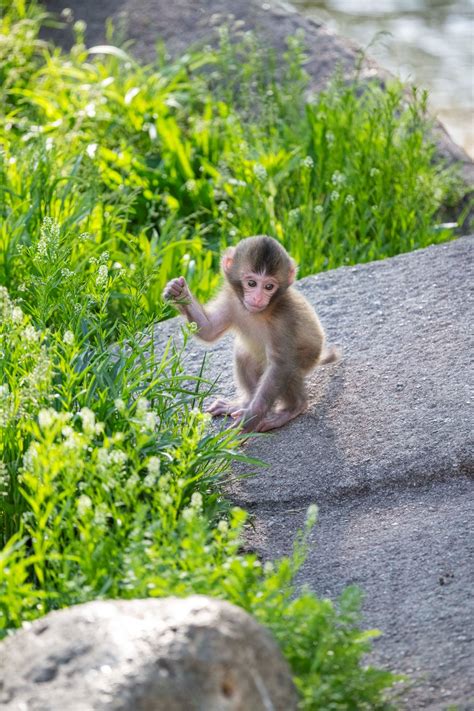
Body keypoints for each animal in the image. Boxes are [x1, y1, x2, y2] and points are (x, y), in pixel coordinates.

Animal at [163, 236, 336, 432]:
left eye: (269, 286)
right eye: (251, 283)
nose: (258, 298)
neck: (259, 312)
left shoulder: (284, 318)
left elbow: (281, 365)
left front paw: (250, 419)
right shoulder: (231, 299)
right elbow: (209, 330)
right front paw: (179, 293)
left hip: (307, 361)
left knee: (289, 368)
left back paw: (292, 408)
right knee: (244, 355)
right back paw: (242, 403)